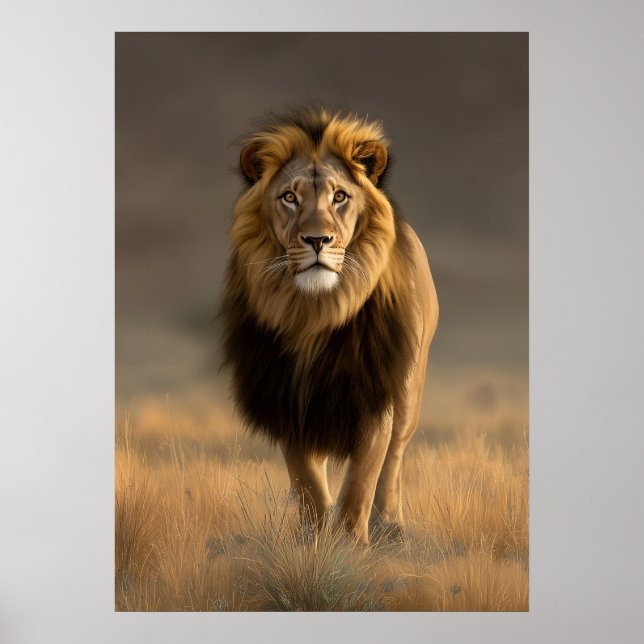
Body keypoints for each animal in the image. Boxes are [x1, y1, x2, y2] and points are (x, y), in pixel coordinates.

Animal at [222, 106, 438, 544]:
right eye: (290, 197)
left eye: (340, 197)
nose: (317, 240)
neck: (316, 313)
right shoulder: (289, 398)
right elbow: (306, 480)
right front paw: (314, 539)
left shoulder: (374, 394)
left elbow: (362, 479)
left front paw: (352, 543)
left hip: (410, 388)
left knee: (395, 458)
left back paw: (390, 527)